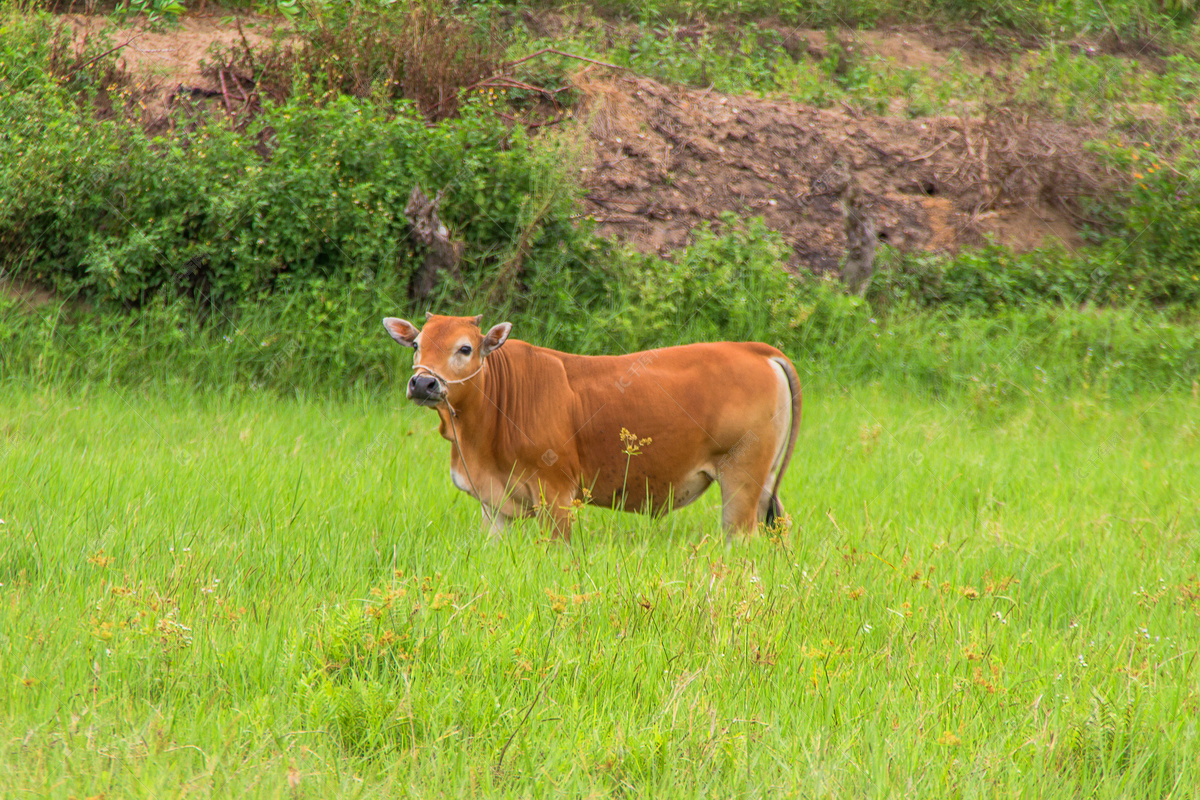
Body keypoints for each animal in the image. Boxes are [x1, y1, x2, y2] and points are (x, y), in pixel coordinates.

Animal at [384, 311, 801, 544]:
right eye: (417, 344)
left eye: (465, 348)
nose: (423, 383)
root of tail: (754, 349)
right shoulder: (495, 506)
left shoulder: (556, 496)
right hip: (764, 486)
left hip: (741, 481)